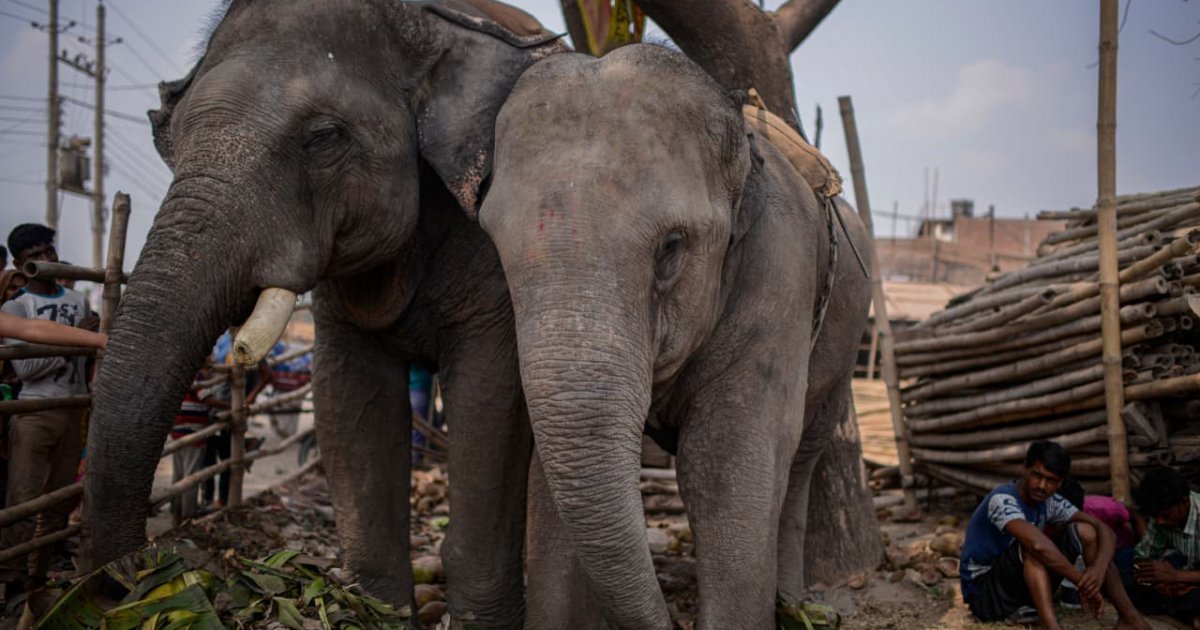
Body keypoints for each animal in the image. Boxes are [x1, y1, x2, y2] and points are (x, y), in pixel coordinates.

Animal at [84, 0, 565, 627]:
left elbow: (490, 399)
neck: (429, 26)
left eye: (323, 138)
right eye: (173, 138)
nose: (140, 574)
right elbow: (347, 397)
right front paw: (372, 610)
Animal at [477, 44, 873, 629]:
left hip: (847, 335)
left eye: (671, 249)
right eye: (494, 248)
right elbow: (552, 481)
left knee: (802, 454)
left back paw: (796, 604)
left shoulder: (782, 269)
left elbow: (723, 462)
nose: (671, 622)